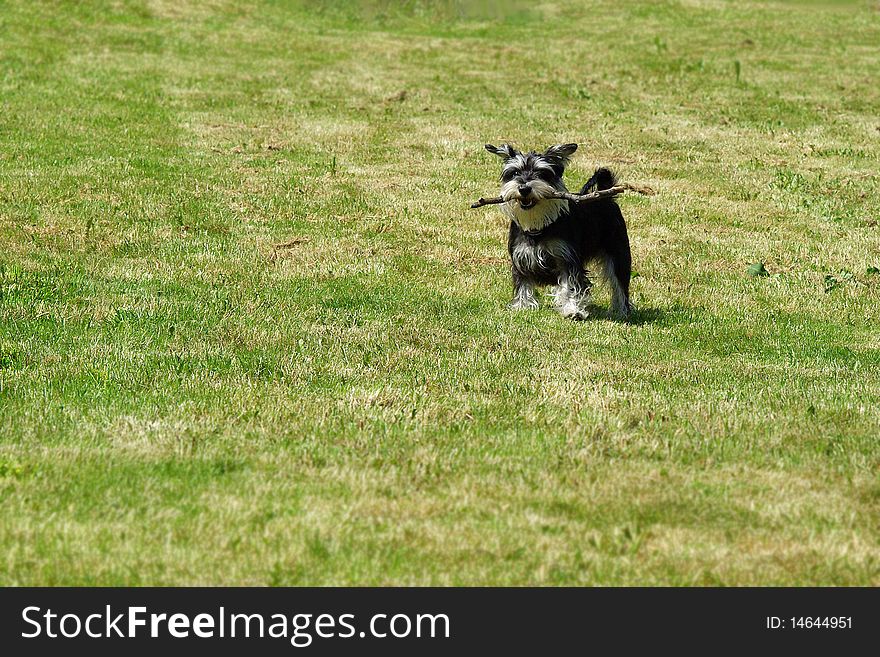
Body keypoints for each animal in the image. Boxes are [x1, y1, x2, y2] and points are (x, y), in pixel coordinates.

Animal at [482, 142, 632, 320]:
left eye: (542, 173)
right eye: (515, 172)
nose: (524, 188)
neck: (539, 225)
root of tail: (606, 196)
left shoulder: (567, 260)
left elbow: (571, 286)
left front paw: (573, 310)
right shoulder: (520, 258)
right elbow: (523, 284)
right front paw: (522, 306)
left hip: (619, 254)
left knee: (620, 285)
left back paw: (622, 311)